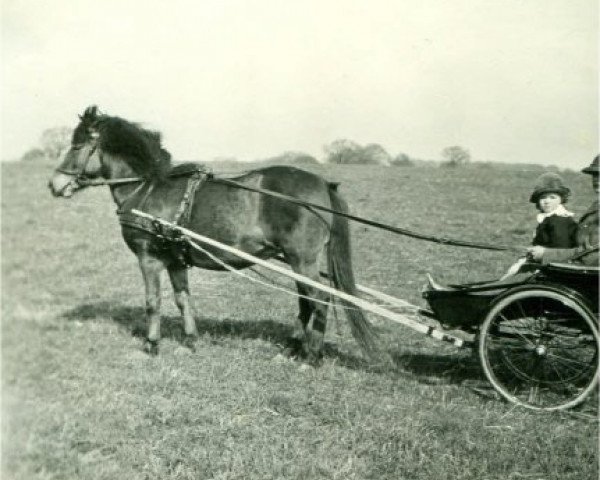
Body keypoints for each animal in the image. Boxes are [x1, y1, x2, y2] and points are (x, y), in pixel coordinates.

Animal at [51, 104, 380, 360]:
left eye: (77, 145)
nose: (54, 184)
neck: (149, 187)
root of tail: (323, 184)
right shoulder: (175, 260)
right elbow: (182, 299)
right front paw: (189, 341)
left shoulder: (149, 257)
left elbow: (152, 302)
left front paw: (152, 345)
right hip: (298, 262)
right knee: (306, 301)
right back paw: (292, 350)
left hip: (303, 260)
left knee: (319, 300)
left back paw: (310, 357)